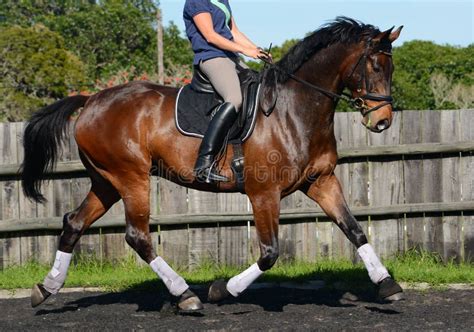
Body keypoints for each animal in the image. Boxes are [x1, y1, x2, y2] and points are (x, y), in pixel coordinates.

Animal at [20, 16, 402, 310]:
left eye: (391, 67)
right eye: (373, 65)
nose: (382, 121)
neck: (293, 110)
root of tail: (91, 100)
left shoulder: (321, 181)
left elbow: (354, 229)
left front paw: (387, 284)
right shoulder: (264, 193)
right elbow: (269, 252)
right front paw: (223, 289)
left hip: (106, 182)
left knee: (74, 222)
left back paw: (46, 288)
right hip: (130, 177)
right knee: (137, 236)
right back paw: (186, 295)